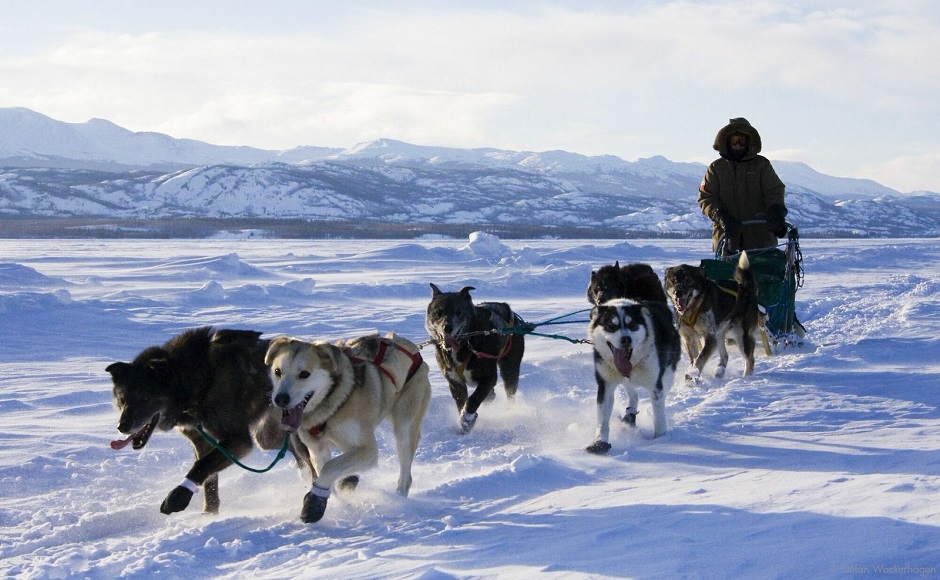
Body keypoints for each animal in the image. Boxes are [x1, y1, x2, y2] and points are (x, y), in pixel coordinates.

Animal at [105, 328, 312, 516]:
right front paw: (209, 513)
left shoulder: (238, 441)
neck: (198, 384)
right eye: (122, 400)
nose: (122, 427)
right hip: (267, 438)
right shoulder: (203, 441)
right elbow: (208, 477)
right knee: (292, 450)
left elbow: (201, 466)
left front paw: (178, 496)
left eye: (145, 399)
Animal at [264, 330, 434, 524]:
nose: (280, 399)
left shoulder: (368, 451)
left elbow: (330, 467)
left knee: (406, 476)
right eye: (278, 371)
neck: (331, 408)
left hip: (404, 430)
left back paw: (400, 498)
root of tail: (413, 349)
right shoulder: (317, 449)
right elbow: (325, 472)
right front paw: (335, 502)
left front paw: (315, 501)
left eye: (304, 374)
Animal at [584, 296, 680, 456]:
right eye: (611, 325)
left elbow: (659, 417)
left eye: (632, 324)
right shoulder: (606, 385)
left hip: (667, 375)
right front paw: (599, 442)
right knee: (633, 392)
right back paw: (629, 415)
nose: (626, 339)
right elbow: (602, 420)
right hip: (622, 377)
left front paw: (660, 440)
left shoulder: (655, 386)